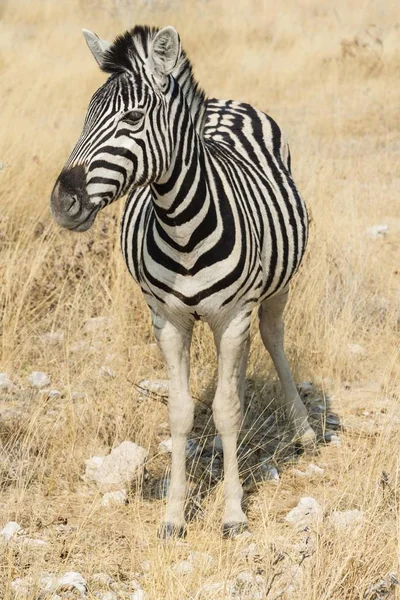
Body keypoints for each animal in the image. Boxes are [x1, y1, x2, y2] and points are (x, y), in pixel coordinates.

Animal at [50, 24, 314, 540]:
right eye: (86, 114)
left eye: (133, 117)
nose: (63, 202)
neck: (182, 225)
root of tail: (225, 102)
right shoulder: (168, 320)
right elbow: (180, 413)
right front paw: (173, 516)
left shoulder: (234, 315)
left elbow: (227, 413)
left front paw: (233, 514)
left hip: (273, 289)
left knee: (272, 338)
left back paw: (303, 428)